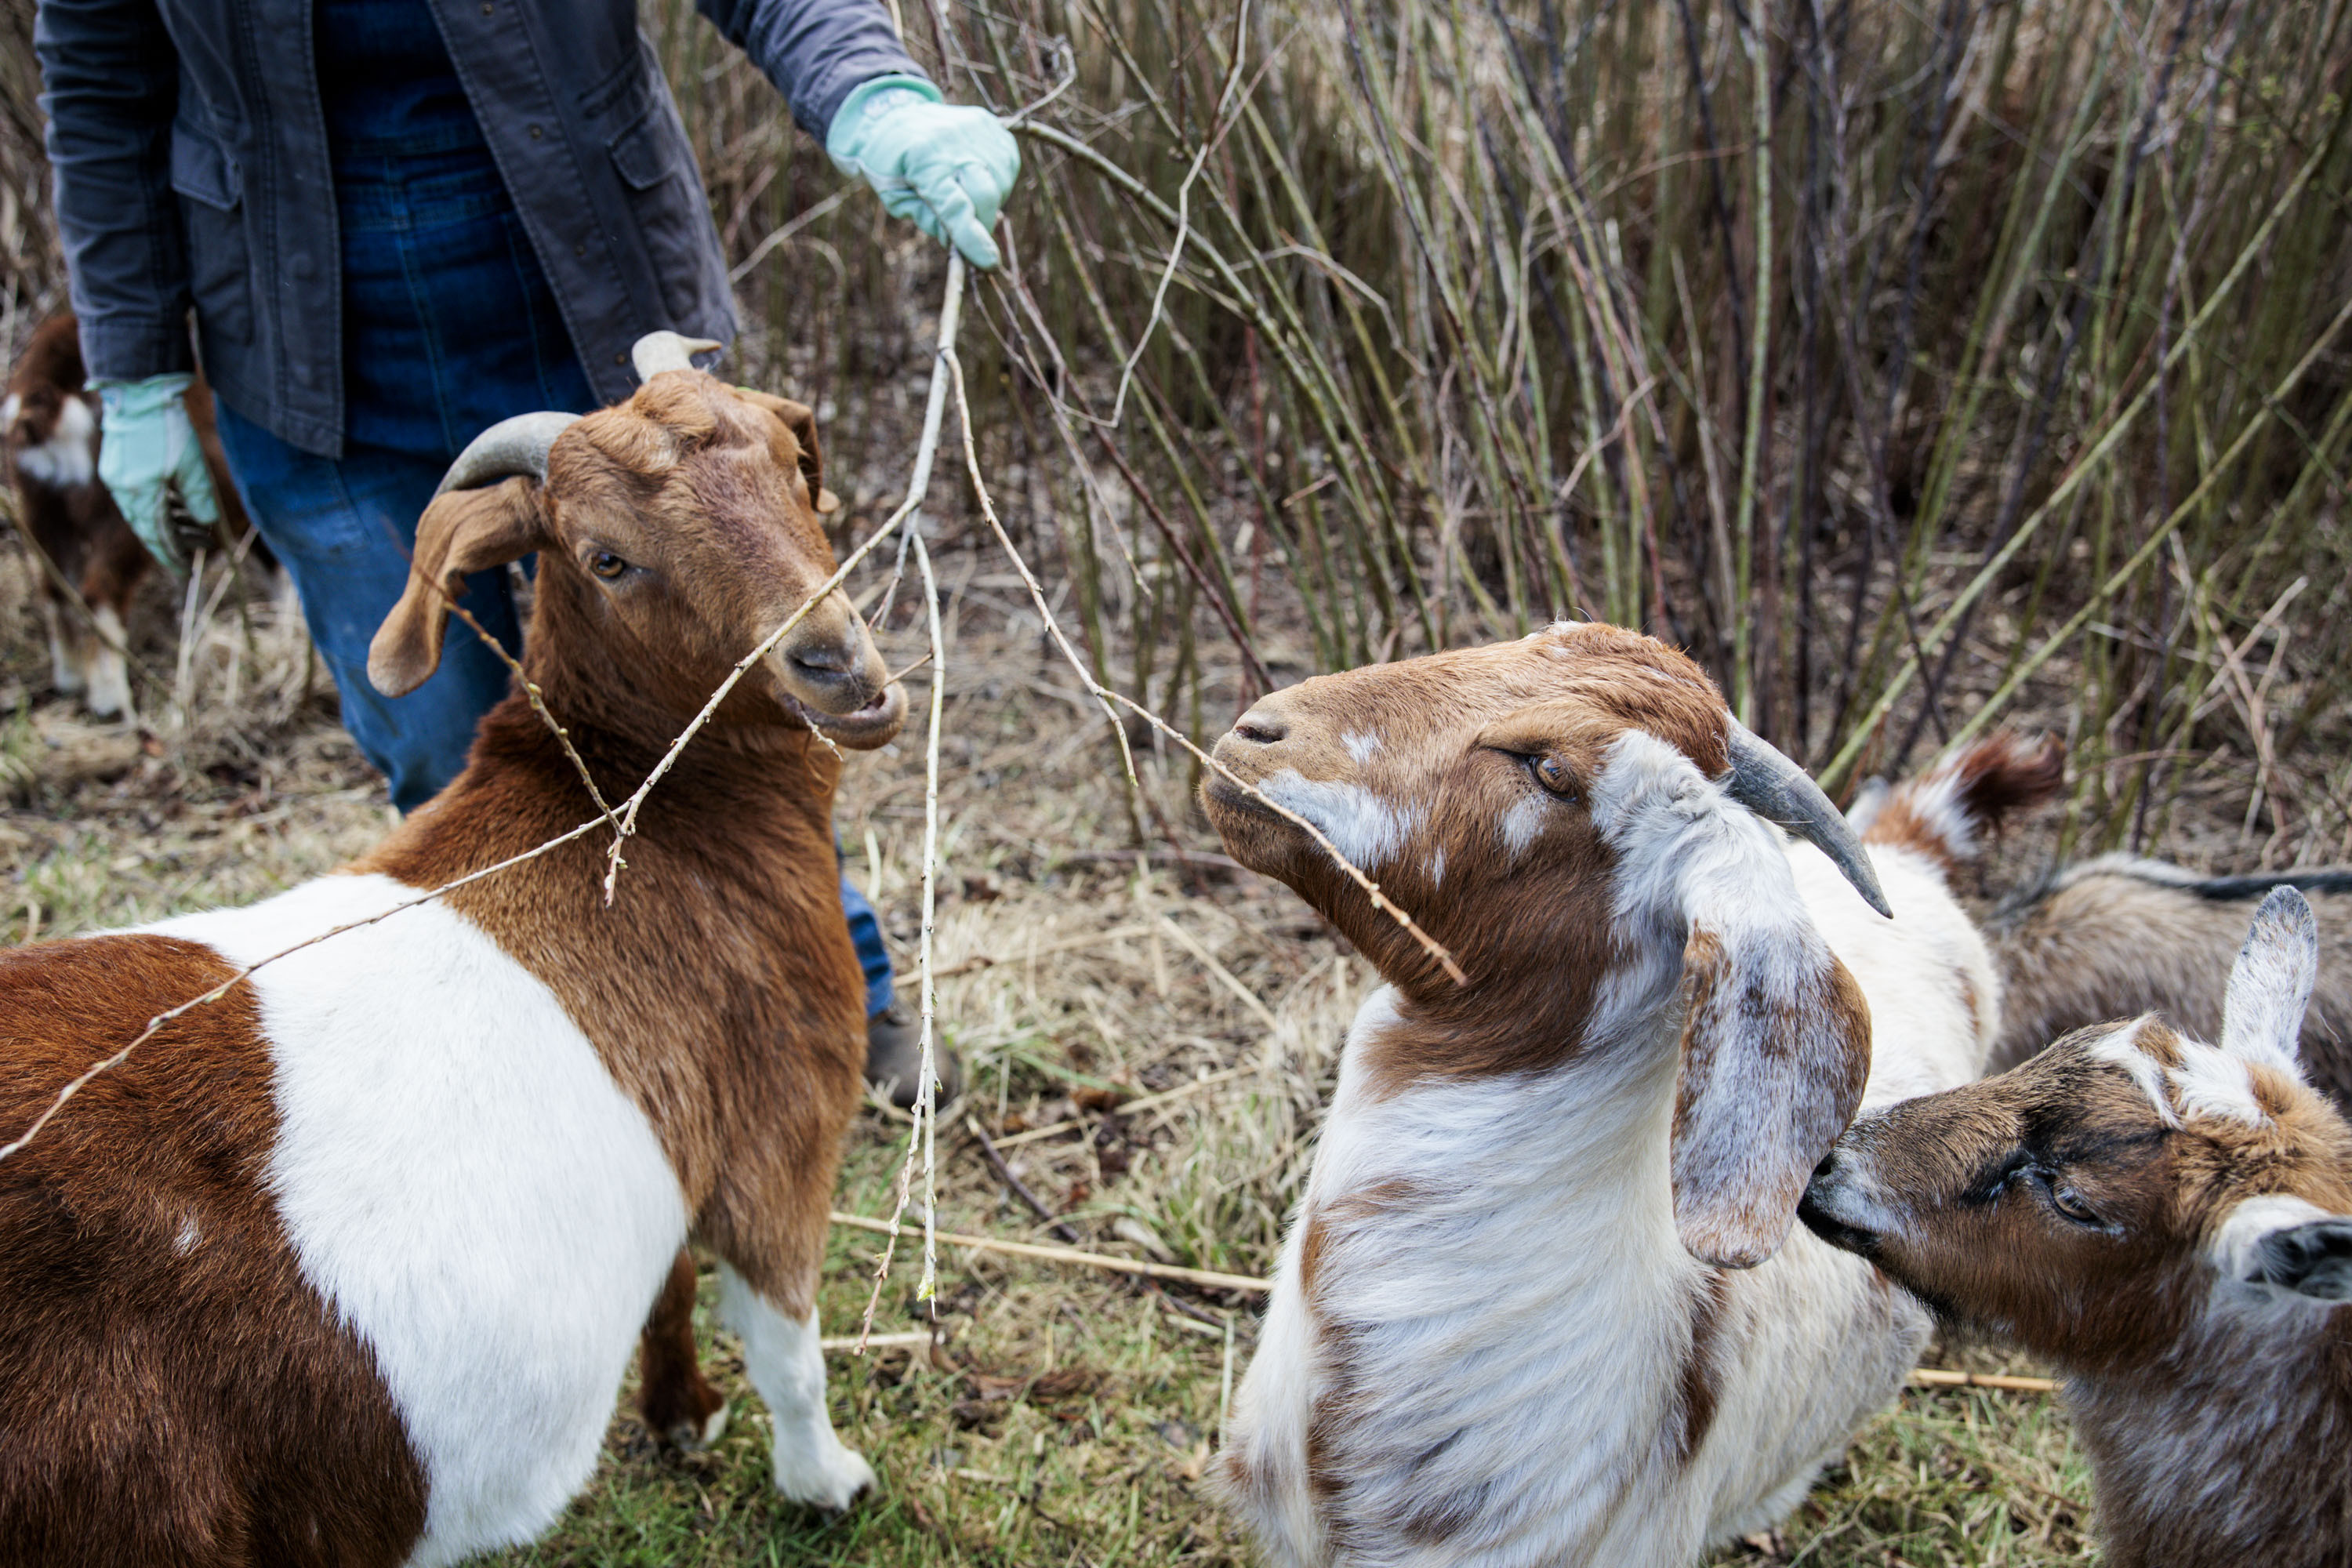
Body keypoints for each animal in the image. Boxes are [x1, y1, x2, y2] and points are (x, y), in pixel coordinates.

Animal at [1, 312, 256, 719]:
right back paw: (111, 699)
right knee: (100, 594)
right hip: (122, 513)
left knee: (57, 588)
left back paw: (71, 678)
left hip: (40, 505)